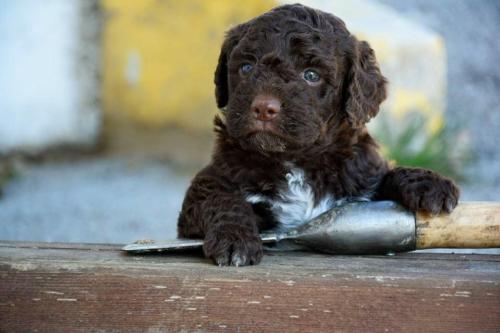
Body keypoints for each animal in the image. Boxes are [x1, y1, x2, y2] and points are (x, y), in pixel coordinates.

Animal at [178, 3, 458, 266]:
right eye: (246, 68)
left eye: (311, 75)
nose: (264, 108)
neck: (297, 162)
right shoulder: (209, 184)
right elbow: (222, 198)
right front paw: (235, 239)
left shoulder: (362, 178)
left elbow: (386, 176)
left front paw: (428, 182)